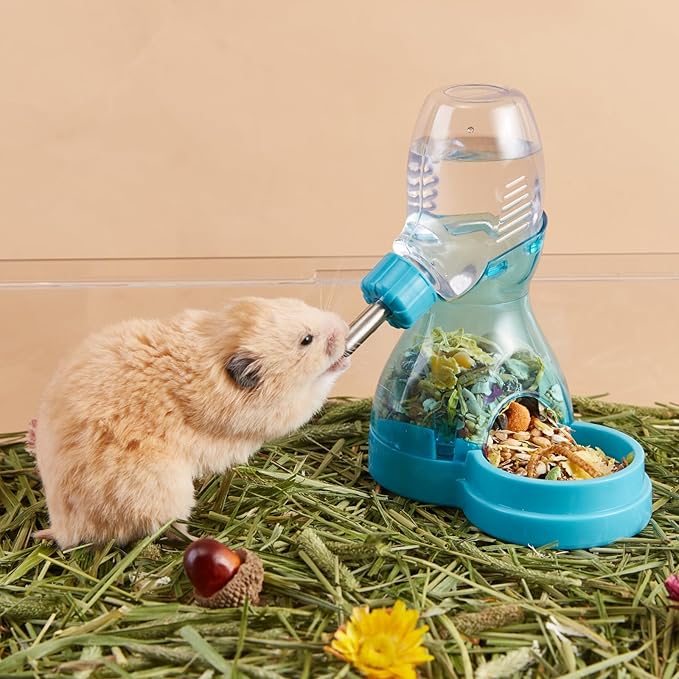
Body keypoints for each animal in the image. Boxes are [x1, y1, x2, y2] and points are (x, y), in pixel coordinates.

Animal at [32, 297, 350, 549]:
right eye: (306, 340)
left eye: (304, 305)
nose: (345, 326)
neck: (216, 344)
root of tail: (63, 529)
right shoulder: (279, 412)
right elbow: (316, 392)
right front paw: (343, 361)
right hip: (167, 491)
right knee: (170, 530)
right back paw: (208, 539)